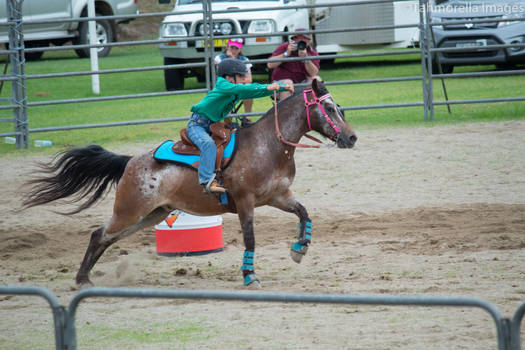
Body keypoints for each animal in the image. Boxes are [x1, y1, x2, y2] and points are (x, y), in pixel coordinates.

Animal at [20, 79, 356, 288]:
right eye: (329, 108)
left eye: (340, 107)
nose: (351, 137)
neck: (269, 145)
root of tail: (130, 161)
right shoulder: (246, 202)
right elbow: (250, 240)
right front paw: (250, 276)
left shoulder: (279, 196)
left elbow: (304, 214)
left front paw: (299, 249)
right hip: (129, 210)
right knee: (98, 234)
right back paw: (81, 279)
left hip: (150, 213)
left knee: (107, 238)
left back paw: (86, 278)